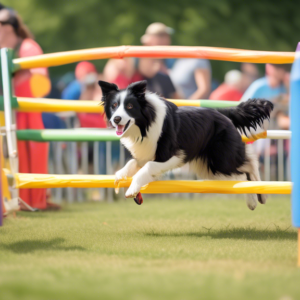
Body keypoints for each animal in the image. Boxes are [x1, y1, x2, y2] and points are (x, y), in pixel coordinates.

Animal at [98, 81, 274, 210]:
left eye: (129, 106)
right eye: (114, 106)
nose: (116, 119)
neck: (145, 124)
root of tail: (221, 112)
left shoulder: (173, 156)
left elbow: (147, 167)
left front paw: (132, 189)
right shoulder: (145, 153)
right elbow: (132, 162)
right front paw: (120, 175)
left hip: (220, 160)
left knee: (247, 169)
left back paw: (256, 200)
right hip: (210, 168)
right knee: (246, 167)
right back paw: (261, 196)